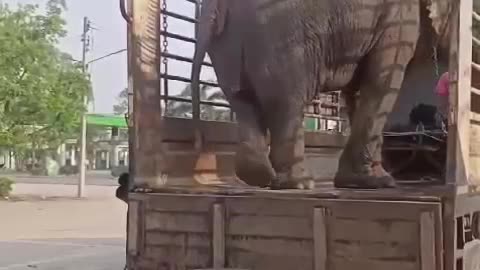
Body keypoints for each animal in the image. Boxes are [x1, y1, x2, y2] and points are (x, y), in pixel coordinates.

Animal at [190, 0, 454, 189]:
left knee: (242, 101)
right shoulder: (398, 18)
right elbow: (382, 81)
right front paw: (380, 182)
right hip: (281, 38)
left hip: (229, 44)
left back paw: (260, 178)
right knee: (286, 104)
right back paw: (299, 184)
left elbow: (356, 89)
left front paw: (358, 181)